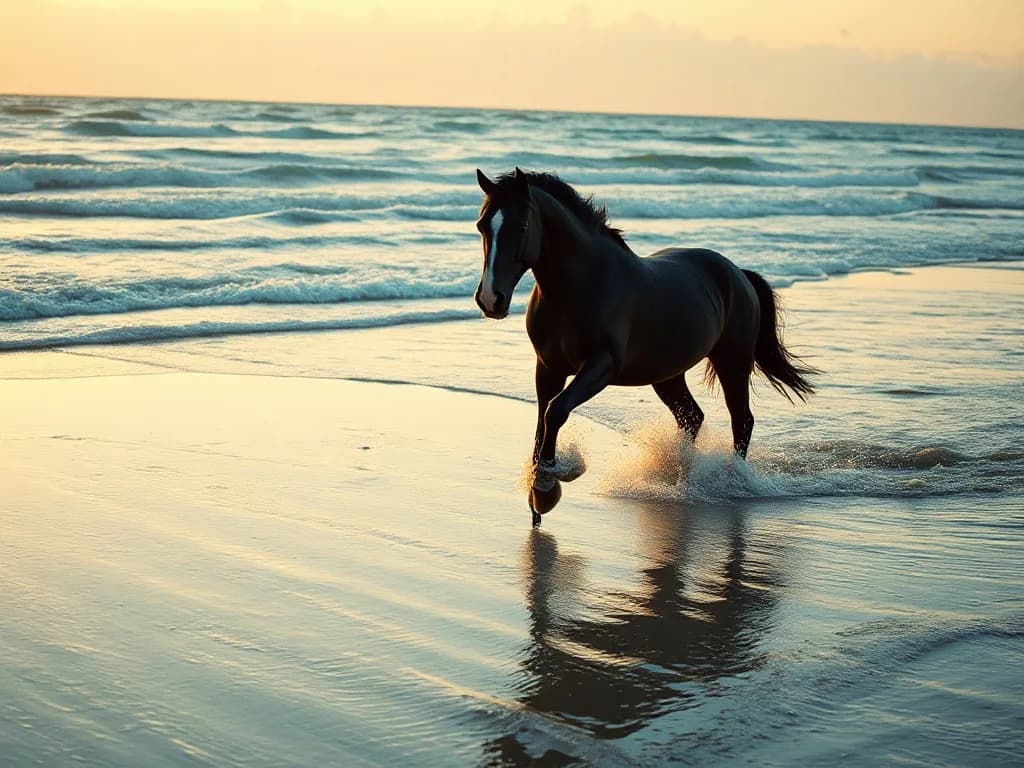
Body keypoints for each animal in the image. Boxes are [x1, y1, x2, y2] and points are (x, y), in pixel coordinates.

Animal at [473, 168, 816, 523]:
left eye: (521, 226)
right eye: (482, 225)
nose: (491, 299)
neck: (581, 287)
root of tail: (738, 273)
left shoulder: (601, 365)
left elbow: (556, 411)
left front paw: (545, 486)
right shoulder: (548, 367)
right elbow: (542, 422)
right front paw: (538, 497)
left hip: (732, 363)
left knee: (741, 420)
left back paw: (730, 481)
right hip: (668, 375)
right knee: (692, 418)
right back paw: (681, 482)